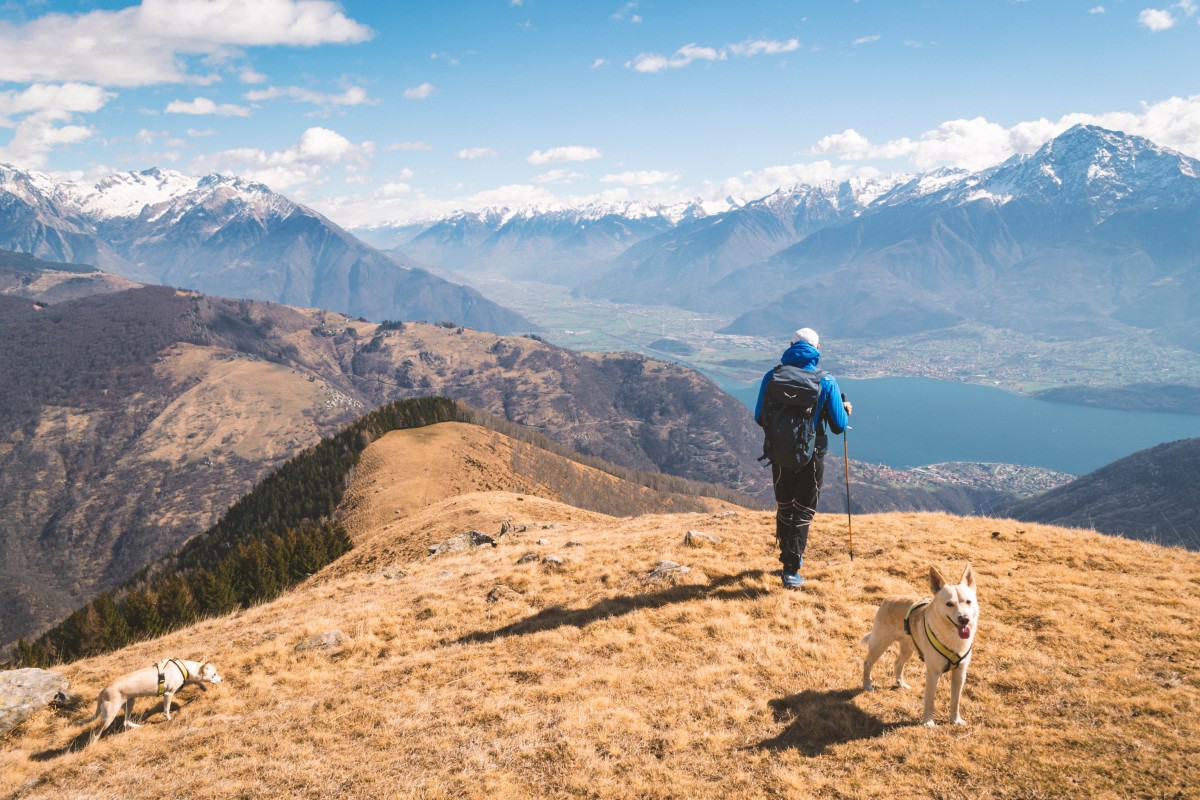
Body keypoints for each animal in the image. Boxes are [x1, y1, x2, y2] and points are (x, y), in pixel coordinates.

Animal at [84, 657, 223, 743]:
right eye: (214, 674)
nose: (222, 679)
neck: (184, 667)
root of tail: (103, 691)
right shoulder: (168, 694)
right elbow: (166, 710)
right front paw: (169, 719)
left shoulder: (185, 682)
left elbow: (195, 681)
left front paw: (203, 687)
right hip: (109, 715)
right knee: (95, 734)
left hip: (130, 702)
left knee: (126, 722)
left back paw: (139, 727)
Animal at [859, 563, 979, 724]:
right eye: (949, 604)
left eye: (968, 602)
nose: (964, 619)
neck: (952, 636)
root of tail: (889, 598)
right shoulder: (933, 673)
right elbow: (930, 699)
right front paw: (928, 722)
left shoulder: (960, 674)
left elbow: (956, 701)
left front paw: (955, 720)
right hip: (880, 644)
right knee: (867, 663)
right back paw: (867, 684)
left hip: (907, 649)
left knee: (897, 663)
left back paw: (901, 683)